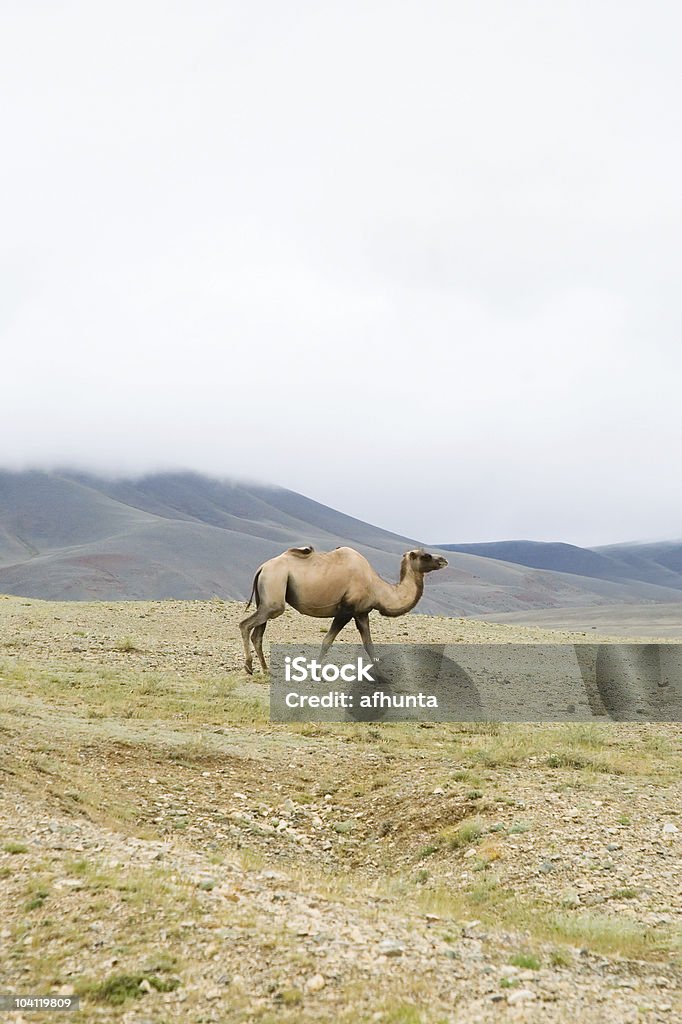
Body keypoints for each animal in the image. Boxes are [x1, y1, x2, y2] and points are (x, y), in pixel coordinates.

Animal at [238, 544, 446, 671]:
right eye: (426, 556)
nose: (444, 560)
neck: (377, 587)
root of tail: (262, 568)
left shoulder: (361, 613)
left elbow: (369, 645)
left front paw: (381, 677)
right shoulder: (346, 610)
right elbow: (327, 641)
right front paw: (316, 672)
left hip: (266, 599)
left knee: (258, 633)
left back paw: (265, 669)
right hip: (274, 593)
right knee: (245, 625)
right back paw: (249, 666)